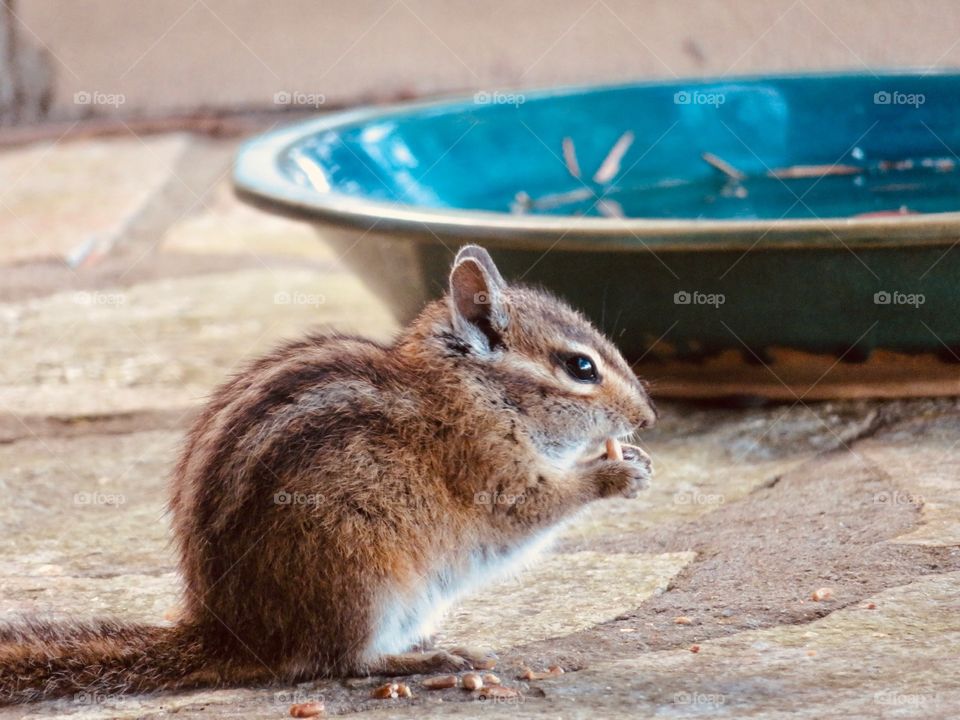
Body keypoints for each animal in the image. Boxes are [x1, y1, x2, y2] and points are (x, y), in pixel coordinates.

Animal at [0, 245, 656, 705]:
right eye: (580, 367)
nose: (647, 418)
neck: (475, 391)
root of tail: (228, 632)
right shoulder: (491, 471)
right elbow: (530, 508)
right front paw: (611, 475)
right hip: (363, 579)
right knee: (337, 661)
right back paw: (426, 661)